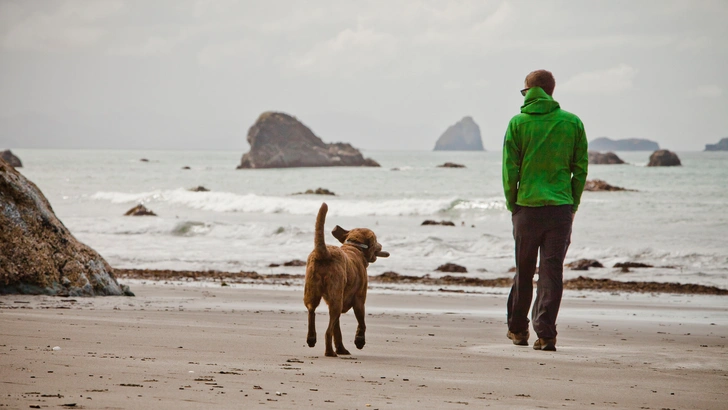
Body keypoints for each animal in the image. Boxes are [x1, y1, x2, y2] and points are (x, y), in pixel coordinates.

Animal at [304, 203, 390, 358]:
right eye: (376, 240)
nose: (381, 245)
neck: (355, 247)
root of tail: (324, 253)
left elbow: (337, 330)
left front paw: (341, 349)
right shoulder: (360, 300)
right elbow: (362, 323)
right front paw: (359, 341)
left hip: (312, 291)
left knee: (311, 311)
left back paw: (312, 338)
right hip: (336, 299)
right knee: (327, 331)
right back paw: (329, 352)